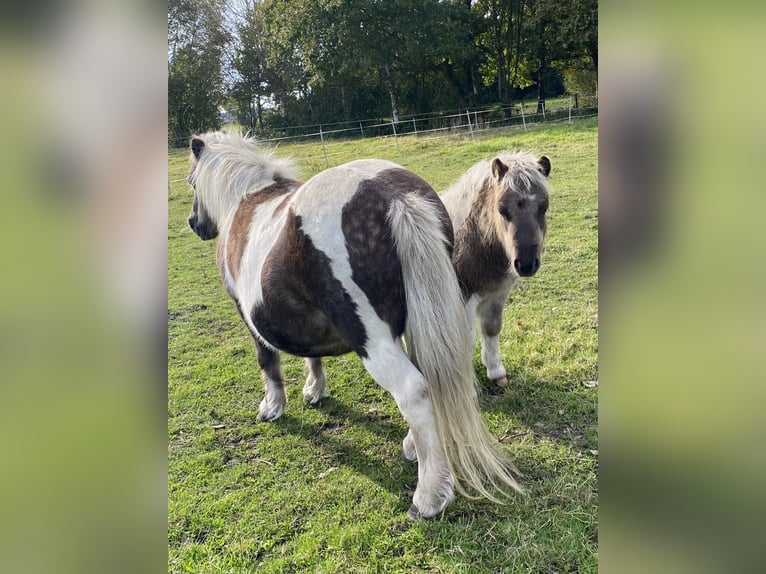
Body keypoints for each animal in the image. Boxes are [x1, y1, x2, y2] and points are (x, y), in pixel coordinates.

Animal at [186, 133, 520, 520]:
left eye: (191, 182)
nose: (195, 223)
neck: (248, 198)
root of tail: (393, 196)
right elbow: (310, 353)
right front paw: (314, 389)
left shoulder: (246, 314)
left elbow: (267, 361)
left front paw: (273, 406)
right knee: (430, 379)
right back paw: (413, 449)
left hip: (373, 340)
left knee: (413, 390)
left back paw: (429, 496)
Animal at [440, 153, 556, 390]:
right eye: (502, 209)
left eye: (544, 207)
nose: (526, 264)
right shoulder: (463, 296)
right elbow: (466, 339)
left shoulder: (497, 294)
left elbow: (491, 328)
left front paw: (496, 373)